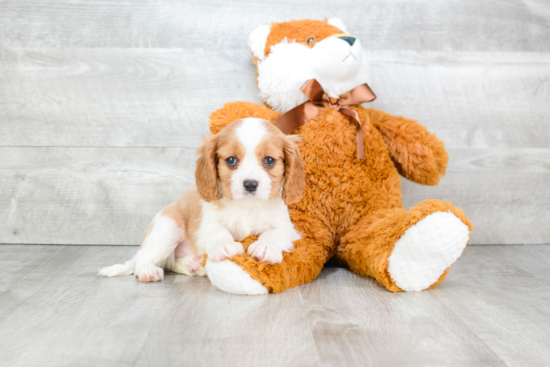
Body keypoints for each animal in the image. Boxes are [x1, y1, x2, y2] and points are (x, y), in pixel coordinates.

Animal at [99, 119, 306, 284]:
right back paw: (147, 271)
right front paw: (225, 246)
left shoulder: (286, 227)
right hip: (167, 228)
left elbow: (275, 233)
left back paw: (194, 265)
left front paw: (265, 247)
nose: (250, 184)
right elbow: (218, 231)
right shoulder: (206, 224)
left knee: (170, 261)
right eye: (231, 160)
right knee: (144, 258)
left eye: (269, 160)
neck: (247, 206)